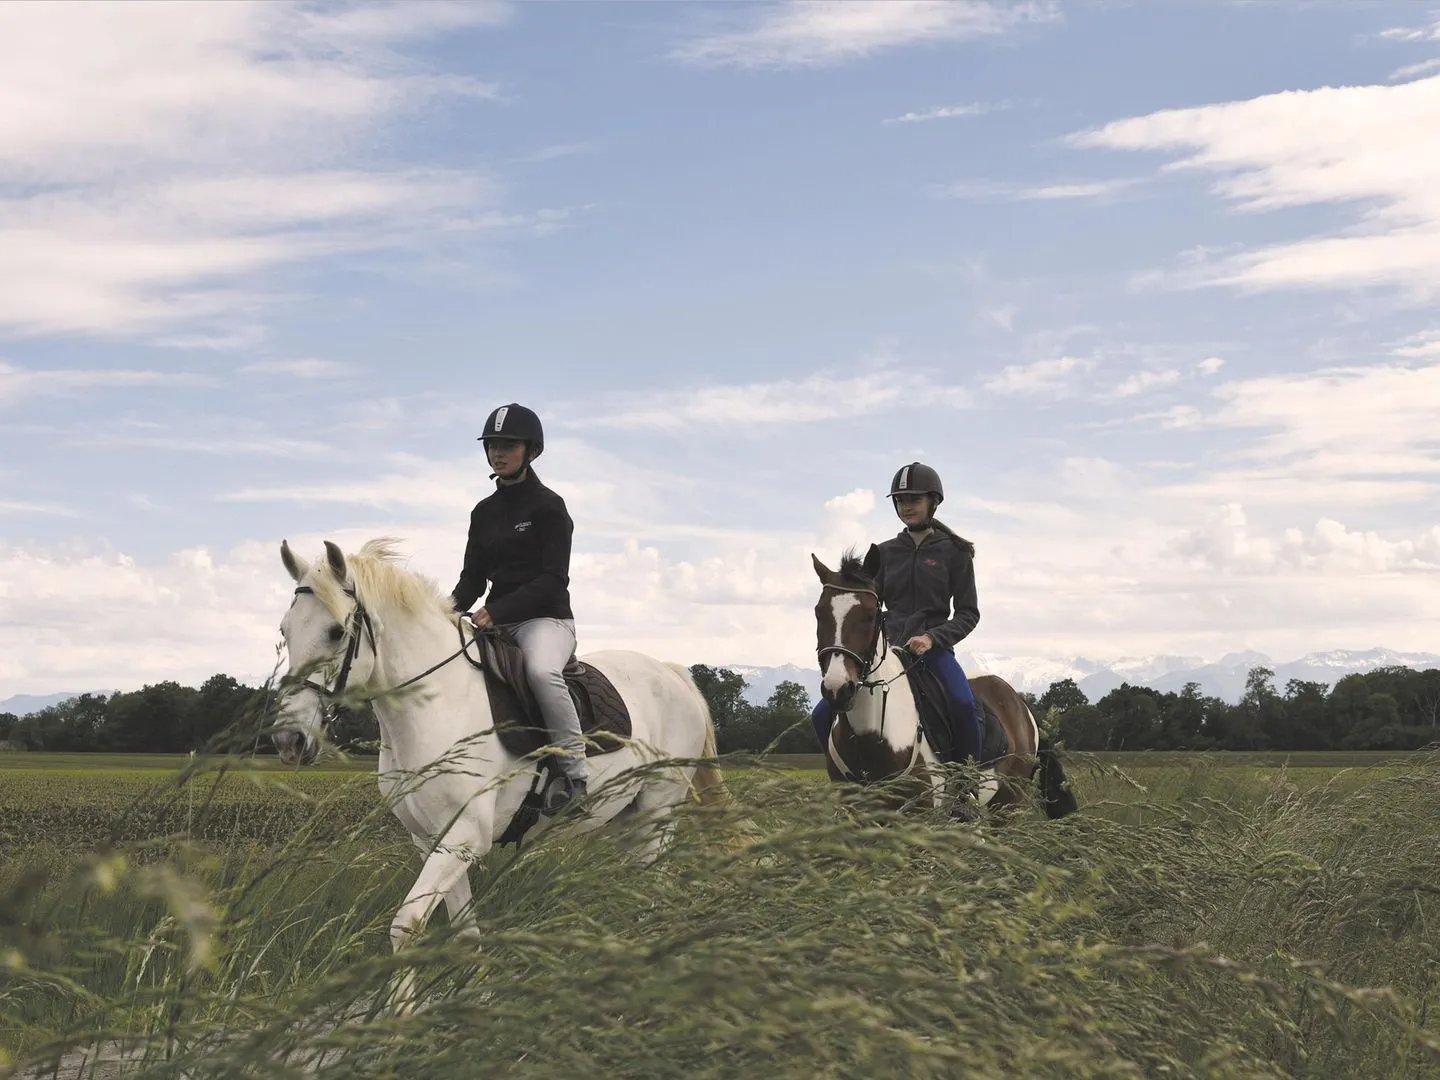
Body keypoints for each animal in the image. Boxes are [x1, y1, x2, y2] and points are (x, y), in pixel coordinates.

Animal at [272, 541, 720, 979]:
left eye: (335, 631)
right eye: (284, 630)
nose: (288, 738)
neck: (439, 701)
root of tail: (672, 672)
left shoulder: (464, 838)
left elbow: (406, 925)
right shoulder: (433, 840)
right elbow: (465, 930)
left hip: (659, 810)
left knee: (654, 885)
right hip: (627, 817)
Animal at [812, 550, 1071, 817]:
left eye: (870, 615)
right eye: (819, 613)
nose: (838, 689)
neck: (872, 736)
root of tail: (1021, 703)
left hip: (1008, 805)